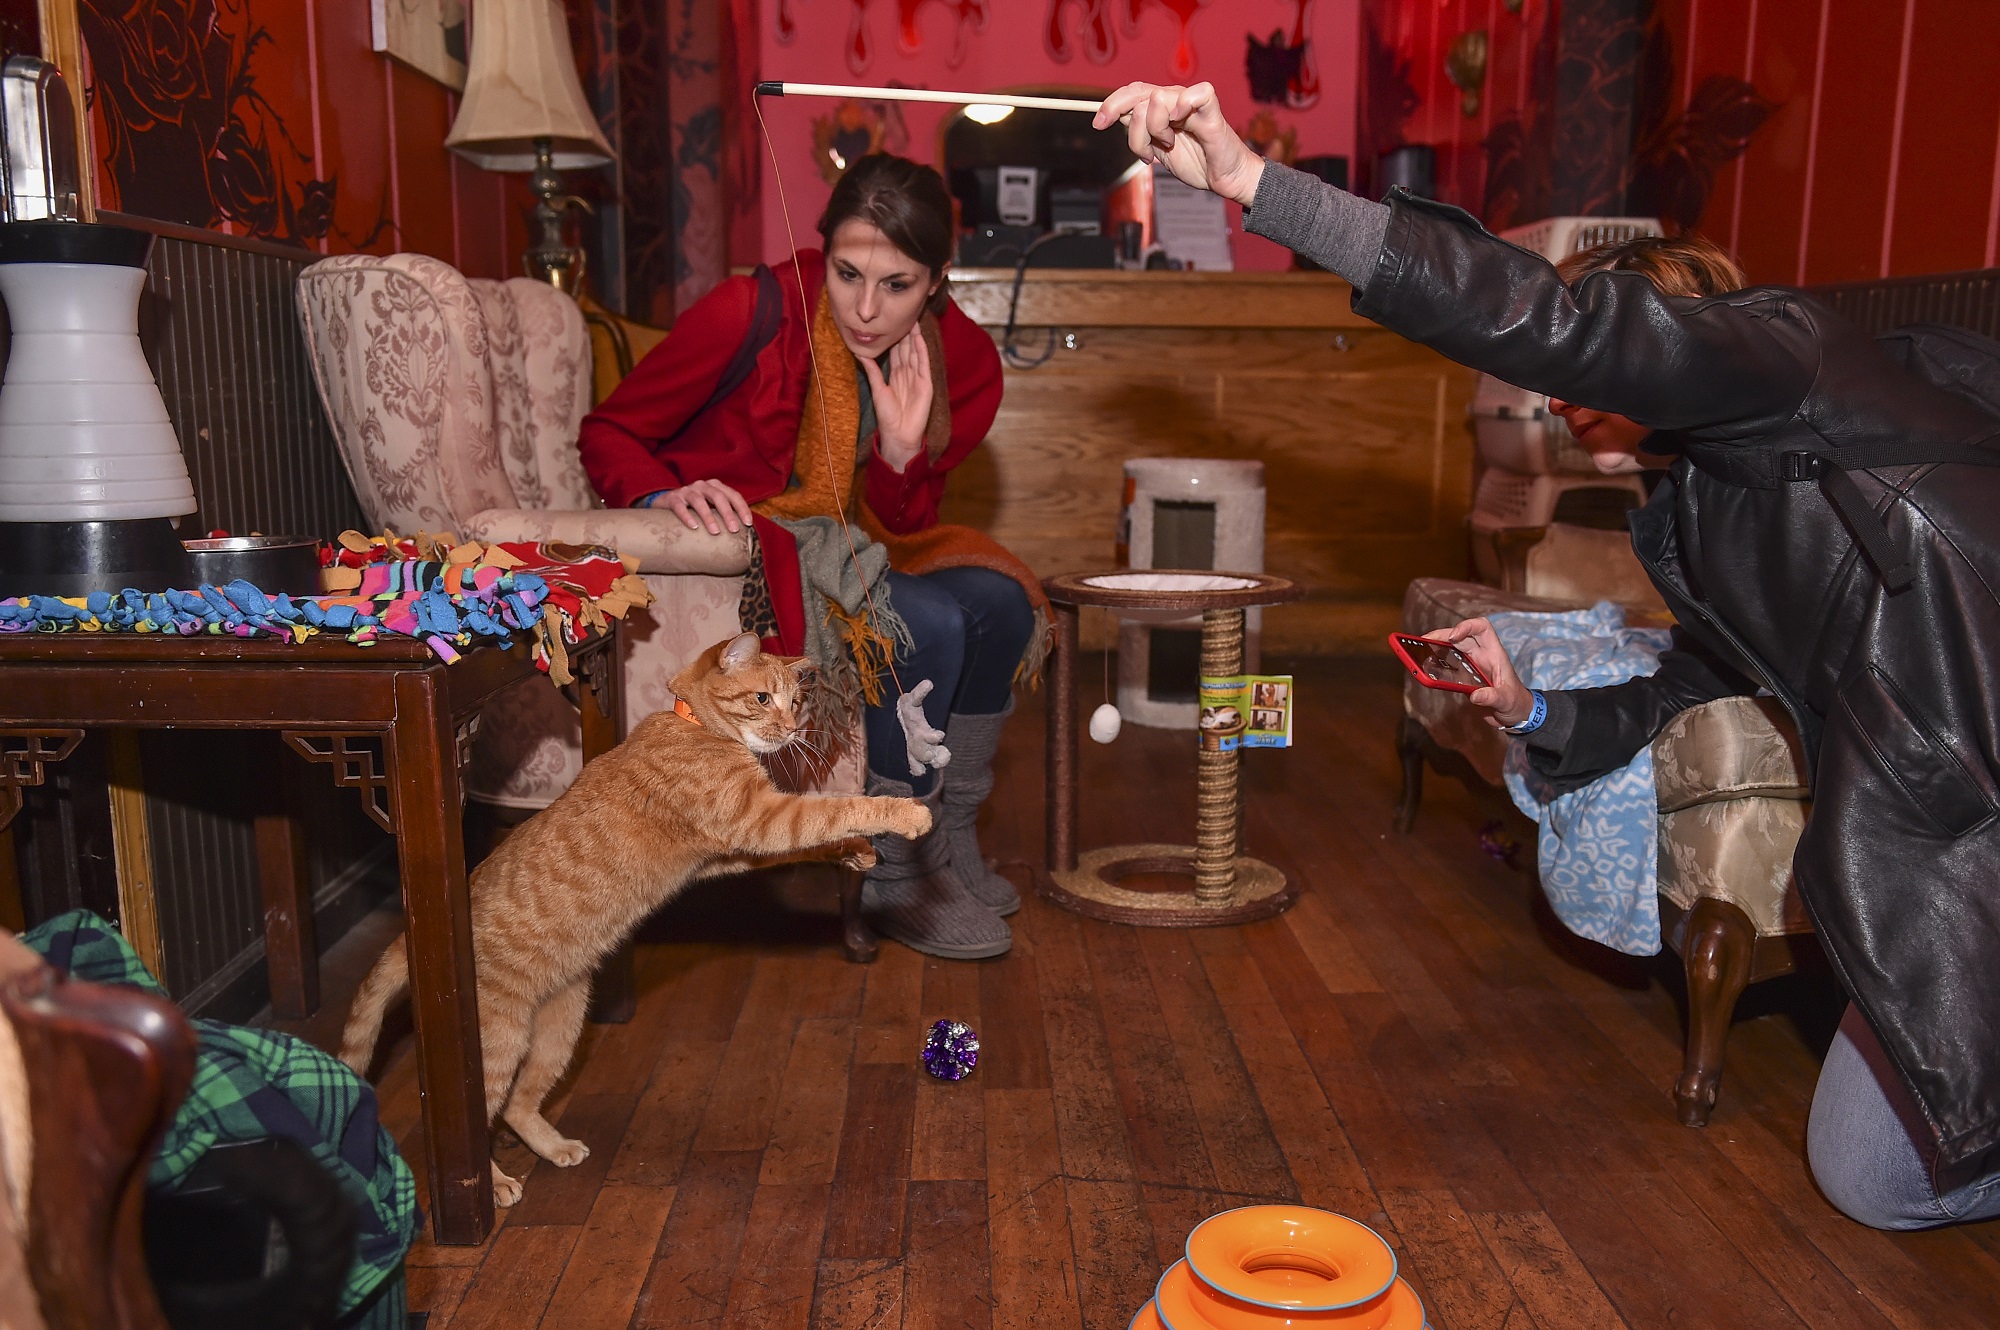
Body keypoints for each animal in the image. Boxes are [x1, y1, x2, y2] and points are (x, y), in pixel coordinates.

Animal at [337, 631, 931, 1207]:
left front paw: (855, 852)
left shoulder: (738, 850)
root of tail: (411, 939)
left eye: (796, 702)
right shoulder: (764, 820)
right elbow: (837, 807)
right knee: (477, 1118)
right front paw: (905, 815)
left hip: (560, 1025)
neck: (696, 726)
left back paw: (553, 1146)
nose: (790, 729)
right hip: (497, 1043)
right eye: (764, 699)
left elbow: (821, 836)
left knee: (517, 1106)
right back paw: (496, 1181)